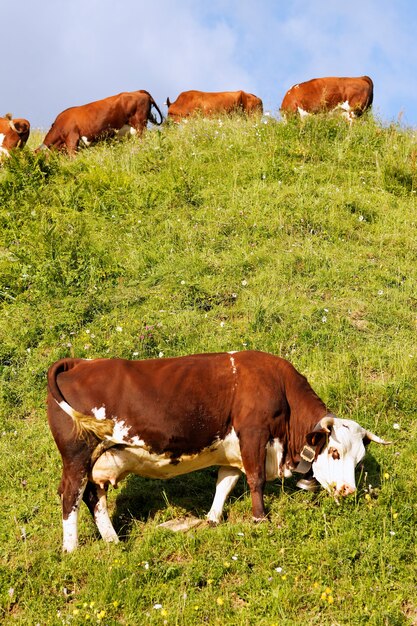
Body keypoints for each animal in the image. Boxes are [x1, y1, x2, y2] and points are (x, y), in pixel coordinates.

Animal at [48, 348, 390, 548]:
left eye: (359, 461)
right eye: (334, 452)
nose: (348, 490)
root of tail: (78, 363)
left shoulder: (232, 449)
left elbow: (225, 483)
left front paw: (212, 518)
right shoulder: (253, 434)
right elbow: (255, 480)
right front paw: (260, 519)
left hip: (100, 461)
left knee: (94, 497)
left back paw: (113, 542)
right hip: (77, 457)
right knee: (70, 496)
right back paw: (71, 549)